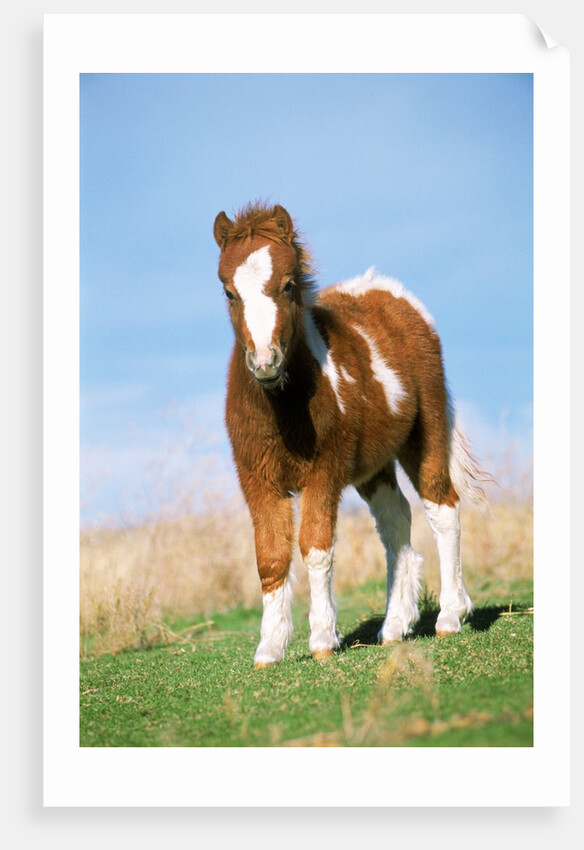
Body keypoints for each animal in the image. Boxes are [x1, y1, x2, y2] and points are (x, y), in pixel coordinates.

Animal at [213, 202, 488, 668]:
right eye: (229, 292)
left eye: (288, 284)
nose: (265, 362)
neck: (283, 405)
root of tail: (392, 294)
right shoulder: (258, 480)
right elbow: (270, 557)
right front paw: (269, 648)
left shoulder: (323, 473)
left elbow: (315, 548)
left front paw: (323, 639)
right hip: (372, 467)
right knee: (395, 520)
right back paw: (394, 627)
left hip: (426, 433)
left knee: (442, 508)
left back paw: (451, 616)